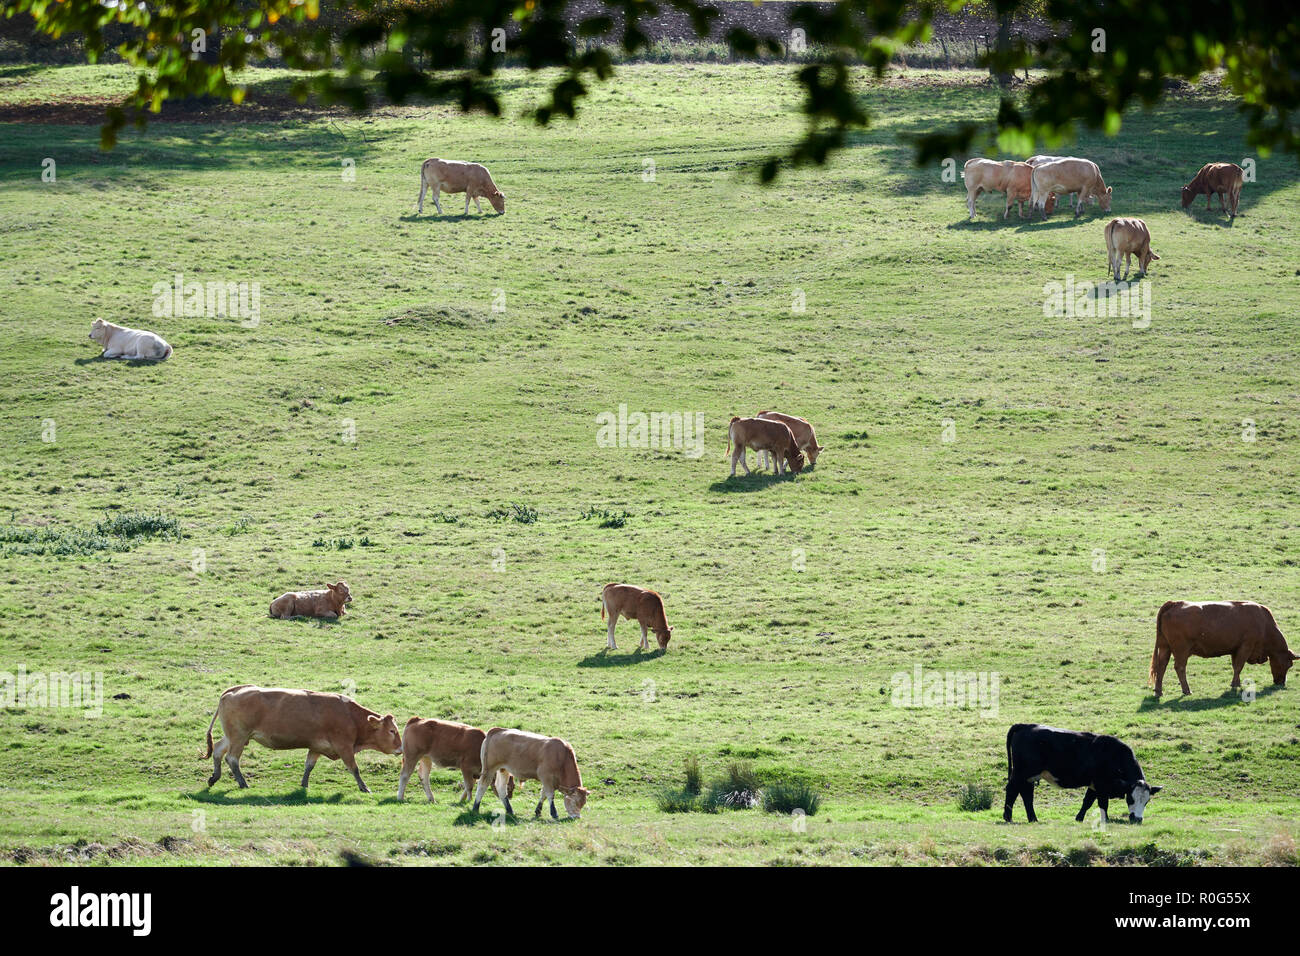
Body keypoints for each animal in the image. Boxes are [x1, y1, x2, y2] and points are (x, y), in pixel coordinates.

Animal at [197, 686, 397, 790]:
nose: (400, 748)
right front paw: (364, 787)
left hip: (232, 736)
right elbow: (354, 768)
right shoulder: (344, 747)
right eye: (392, 731)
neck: (350, 715)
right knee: (232, 758)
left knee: (218, 751)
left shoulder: (316, 747)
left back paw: (214, 777)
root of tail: (232, 691)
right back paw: (242, 783)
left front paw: (304, 784)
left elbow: (309, 765)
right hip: (239, 737)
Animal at [998, 723, 1164, 822]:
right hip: (1021, 773)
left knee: (1026, 794)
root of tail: (1026, 726)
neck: (1114, 756)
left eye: (1147, 801)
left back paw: (1032, 819)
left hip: (1029, 776)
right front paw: (1105, 820)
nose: (1137, 819)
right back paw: (1008, 817)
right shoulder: (1101, 785)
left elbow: (1087, 802)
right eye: (1131, 799)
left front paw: (1079, 818)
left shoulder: (1093, 785)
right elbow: (1103, 803)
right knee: (1012, 790)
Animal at [1154, 598, 1294, 697]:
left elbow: (1235, 666)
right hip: (1181, 650)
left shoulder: (1235, 650)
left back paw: (1159, 692)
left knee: (1161, 667)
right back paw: (1186, 690)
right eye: (1289, 665)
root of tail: (1175, 603)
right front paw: (1235, 684)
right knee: (1180, 667)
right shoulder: (1246, 647)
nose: (1281, 682)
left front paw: (1237, 683)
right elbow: (1239, 666)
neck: (1264, 624)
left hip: (1165, 648)